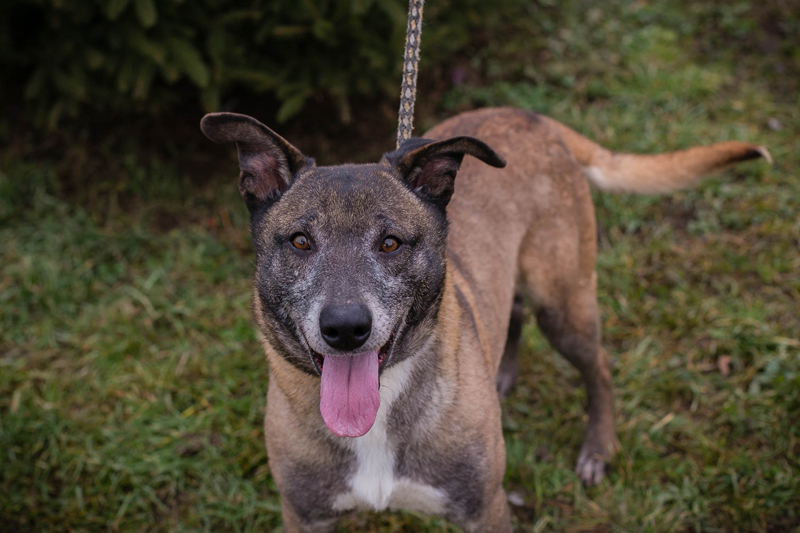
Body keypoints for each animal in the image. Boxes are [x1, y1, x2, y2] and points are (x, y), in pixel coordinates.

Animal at [200, 107, 769, 532]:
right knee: (511, 313)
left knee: (599, 365)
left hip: (563, 305)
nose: (344, 329)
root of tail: (533, 116)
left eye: (391, 243)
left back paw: (598, 448)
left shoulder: (484, 508)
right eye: (300, 241)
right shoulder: (306, 516)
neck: (379, 412)